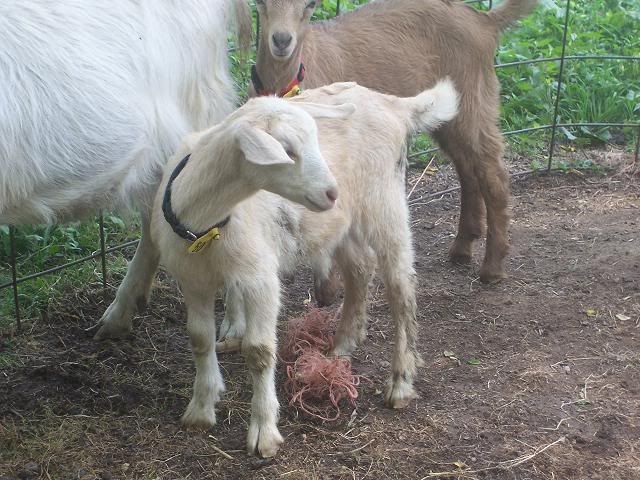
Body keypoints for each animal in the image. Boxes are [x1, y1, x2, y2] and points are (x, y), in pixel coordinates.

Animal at [150, 80, 459, 457]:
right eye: (285, 150)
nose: (331, 192)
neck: (205, 223)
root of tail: (394, 105)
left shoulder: (260, 277)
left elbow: (259, 350)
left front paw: (264, 432)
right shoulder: (192, 278)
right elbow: (199, 338)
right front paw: (200, 409)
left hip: (384, 201)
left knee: (402, 287)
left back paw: (400, 382)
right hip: (342, 221)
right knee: (360, 266)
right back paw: (344, 342)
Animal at [252, 0, 539, 296]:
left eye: (311, 5)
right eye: (260, 3)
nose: (282, 40)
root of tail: (485, 21)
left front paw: (328, 290)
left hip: (473, 101)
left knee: (492, 172)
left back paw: (492, 267)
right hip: (448, 112)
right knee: (467, 169)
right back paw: (462, 247)